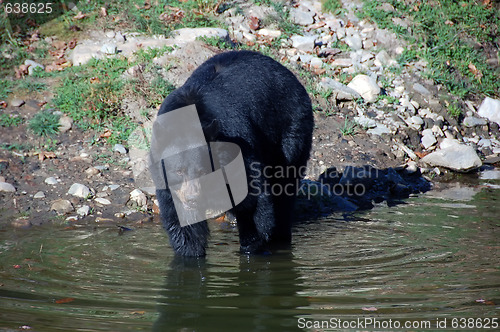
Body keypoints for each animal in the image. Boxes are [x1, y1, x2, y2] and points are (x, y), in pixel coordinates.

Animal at [156, 50, 312, 256]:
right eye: (179, 171)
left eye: (202, 171)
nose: (192, 199)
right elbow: (183, 223)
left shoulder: (237, 144)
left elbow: (252, 199)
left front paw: (251, 244)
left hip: (290, 129)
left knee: (284, 188)